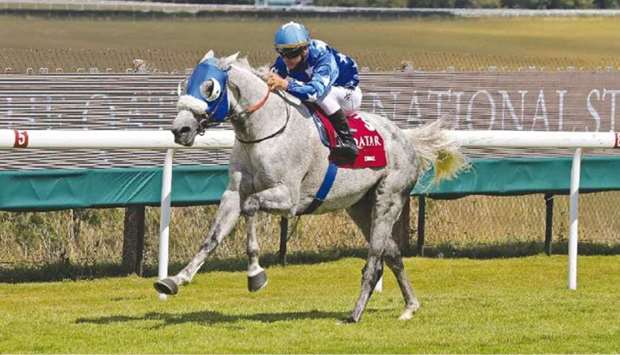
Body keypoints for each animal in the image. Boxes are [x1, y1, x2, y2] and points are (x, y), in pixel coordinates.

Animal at [155, 51, 464, 324]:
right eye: (188, 83)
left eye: (210, 87)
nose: (180, 130)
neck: (264, 131)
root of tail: (407, 139)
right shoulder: (232, 194)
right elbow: (212, 238)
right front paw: (174, 280)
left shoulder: (288, 199)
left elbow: (251, 206)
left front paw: (255, 274)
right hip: (361, 206)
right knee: (393, 255)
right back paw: (409, 306)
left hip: (389, 199)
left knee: (375, 259)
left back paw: (355, 314)